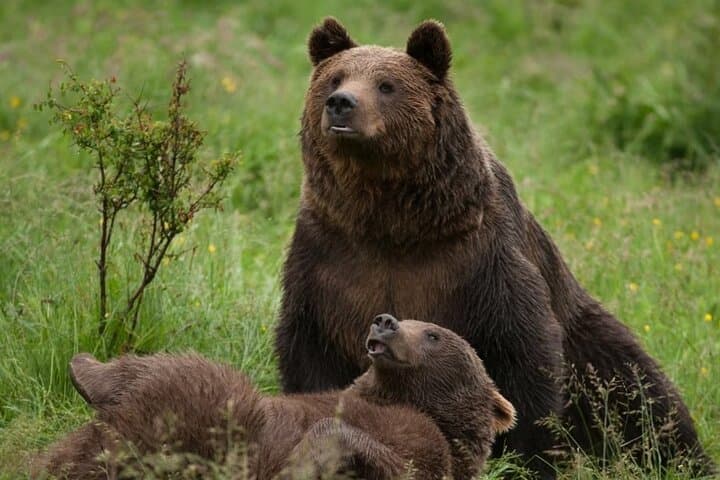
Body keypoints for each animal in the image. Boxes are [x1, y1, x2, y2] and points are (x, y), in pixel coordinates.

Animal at [33, 316, 516, 480]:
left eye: (433, 333)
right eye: (411, 319)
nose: (385, 321)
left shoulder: (429, 448)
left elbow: (391, 460)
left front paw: (301, 460)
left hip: (216, 436)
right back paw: (84, 368)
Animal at [275, 17, 715, 478]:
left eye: (386, 85)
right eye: (335, 78)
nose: (341, 103)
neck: (393, 221)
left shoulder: (479, 258)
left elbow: (521, 350)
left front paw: (527, 455)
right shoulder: (329, 258)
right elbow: (311, 348)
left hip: (588, 339)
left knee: (637, 392)